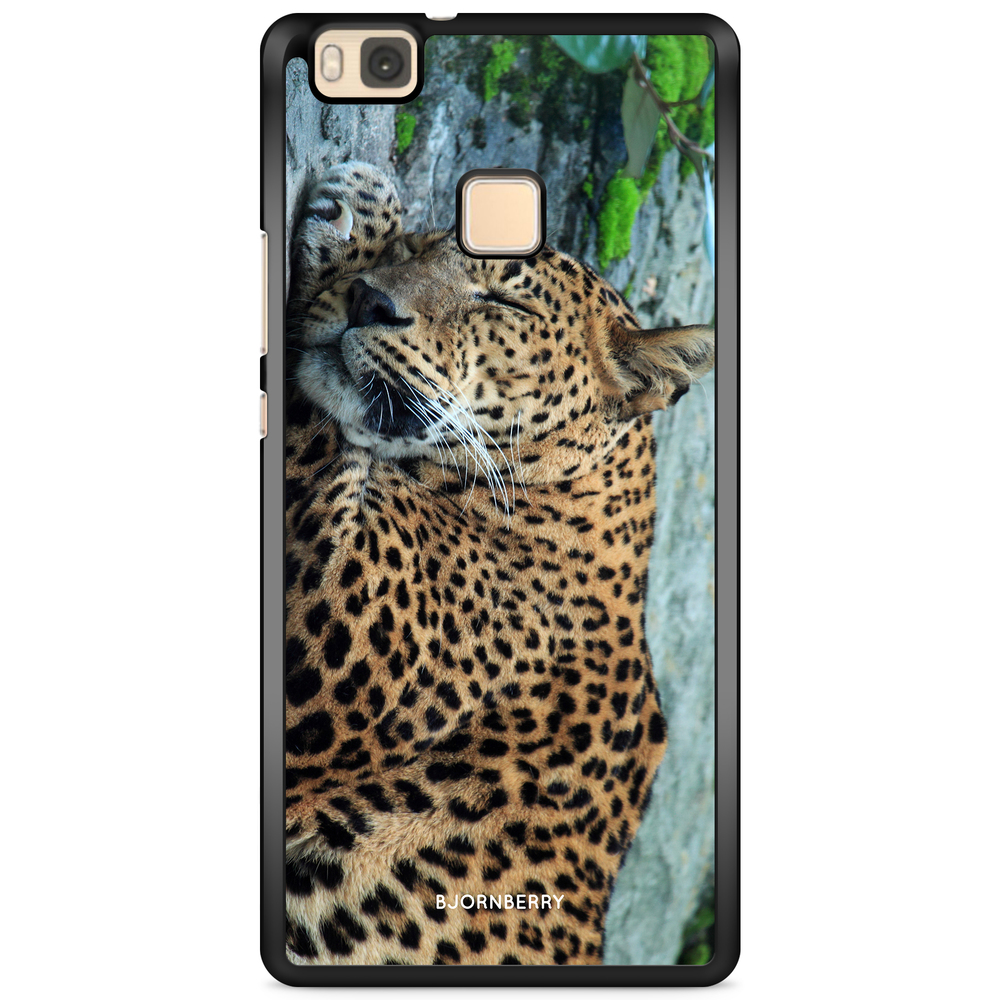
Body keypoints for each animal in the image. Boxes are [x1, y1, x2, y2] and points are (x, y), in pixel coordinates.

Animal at [283, 162, 714, 966]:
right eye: (422, 248)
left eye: (503, 301)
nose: (369, 300)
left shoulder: (340, 620)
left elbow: (314, 424)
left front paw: (357, 209)